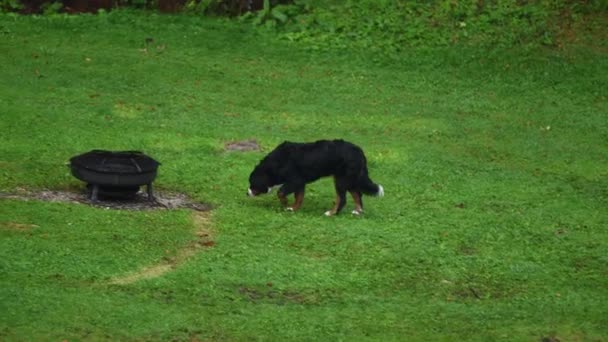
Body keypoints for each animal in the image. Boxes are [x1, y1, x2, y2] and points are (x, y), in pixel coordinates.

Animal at [248, 138, 384, 215]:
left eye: (251, 183)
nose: (247, 193)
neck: (277, 162)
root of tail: (359, 152)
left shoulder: (295, 180)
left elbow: (281, 192)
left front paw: (286, 203)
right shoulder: (300, 182)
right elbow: (299, 197)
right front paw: (293, 208)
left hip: (341, 180)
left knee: (342, 199)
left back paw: (332, 213)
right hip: (349, 179)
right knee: (357, 194)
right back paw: (358, 211)